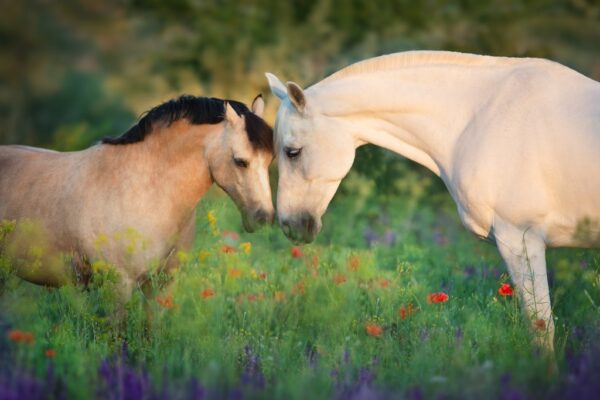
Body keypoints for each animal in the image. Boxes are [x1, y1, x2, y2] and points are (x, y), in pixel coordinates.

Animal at [1, 95, 274, 304]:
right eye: (240, 161)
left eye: (270, 160)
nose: (263, 217)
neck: (147, 192)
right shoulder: (118, 285)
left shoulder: (161, 285)